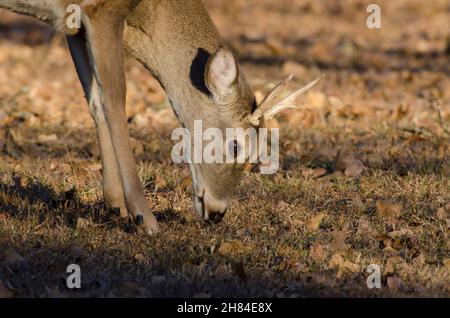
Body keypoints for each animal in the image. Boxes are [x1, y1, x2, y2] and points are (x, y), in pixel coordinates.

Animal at [0, 0, 324, 234]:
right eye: (236, 146)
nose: (218, 213)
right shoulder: (102, 10)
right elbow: (115, 99)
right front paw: (144, 218)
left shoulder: (76, 27)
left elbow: (94, 99)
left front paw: (115, 204)